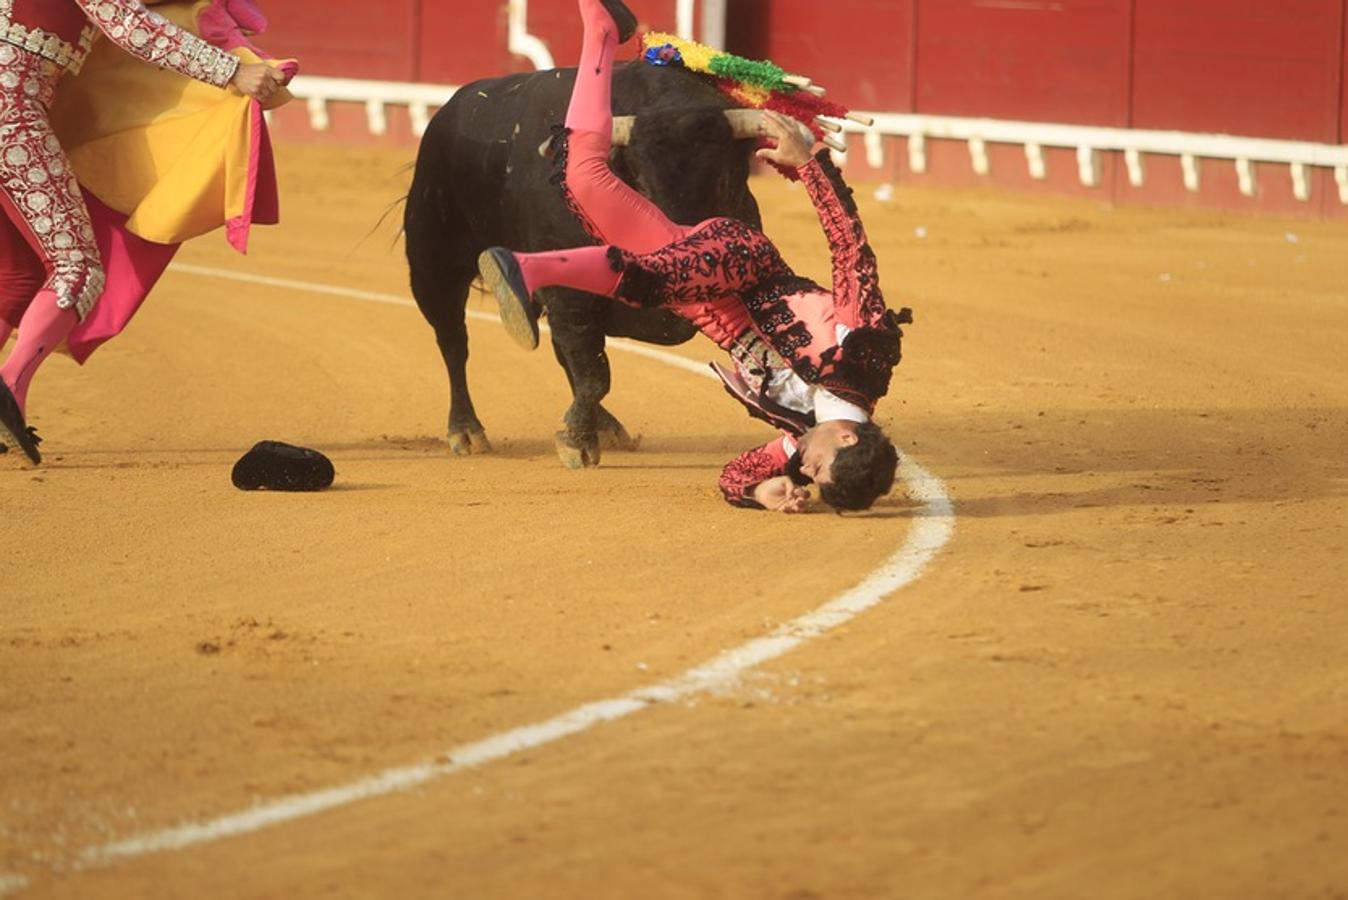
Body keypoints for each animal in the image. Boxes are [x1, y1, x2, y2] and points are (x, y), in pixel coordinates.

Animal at [401, 59, 760, 468]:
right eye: (641, 186)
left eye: (725, 181)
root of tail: (448, 111)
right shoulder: (570, 297)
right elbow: (594, 375)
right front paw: (576, 442)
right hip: (434, 266)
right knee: (454, 343)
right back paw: (466, 430)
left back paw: (605, 426)